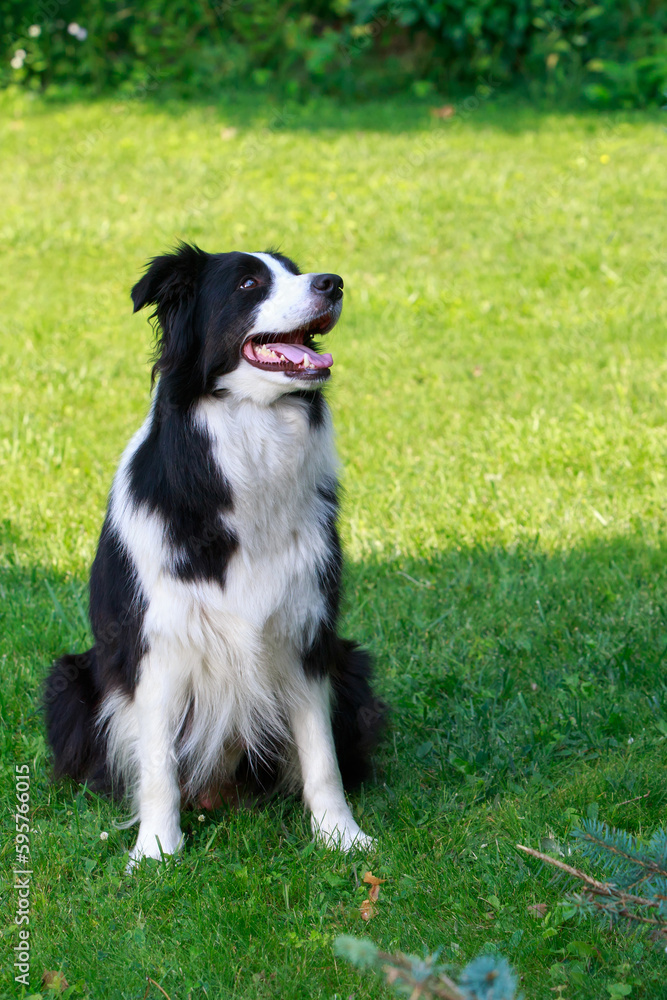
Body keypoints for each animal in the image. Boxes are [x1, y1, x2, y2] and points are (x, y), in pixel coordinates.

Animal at [45, 242, 386, 860]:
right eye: (249, 284)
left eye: (294, 271)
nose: (333, 282)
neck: (252, 431)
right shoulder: (159, 642)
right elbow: (158, 764)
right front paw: (156, 852)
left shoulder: (306, 636)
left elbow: (321, 756)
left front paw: (341, 837)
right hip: (69, 682)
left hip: (353, 666)